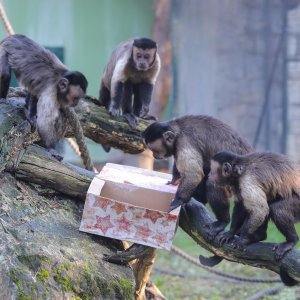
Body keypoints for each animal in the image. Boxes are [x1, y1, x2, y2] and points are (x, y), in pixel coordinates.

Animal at [207, 151, 300, 288]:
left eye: (212, 170)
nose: (209, 175)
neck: (239, 171)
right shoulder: (236, 184)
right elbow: (240, 205)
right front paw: (230, 233)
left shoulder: (247, 181)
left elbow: (259, 210)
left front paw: (243, 240)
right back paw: (259, 236)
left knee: (276, 209)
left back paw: (291, 241)